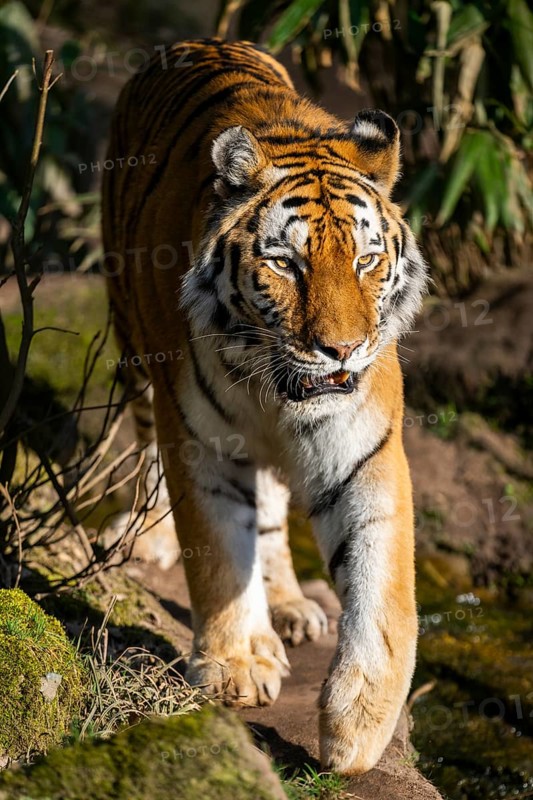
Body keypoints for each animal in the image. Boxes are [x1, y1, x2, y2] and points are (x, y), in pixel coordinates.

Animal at [101, 38, 428, 774]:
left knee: (276, 510)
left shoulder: (365, 449)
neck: (276, 387)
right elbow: (220, 551)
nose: (341, 350)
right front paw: (238, 667)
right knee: (145, 448)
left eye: (366, 260)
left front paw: (359, 725)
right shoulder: (199, 440)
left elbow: (382, 586)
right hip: (133, 348)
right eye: (286, 264)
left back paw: (290, 605)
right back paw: (148, 537)